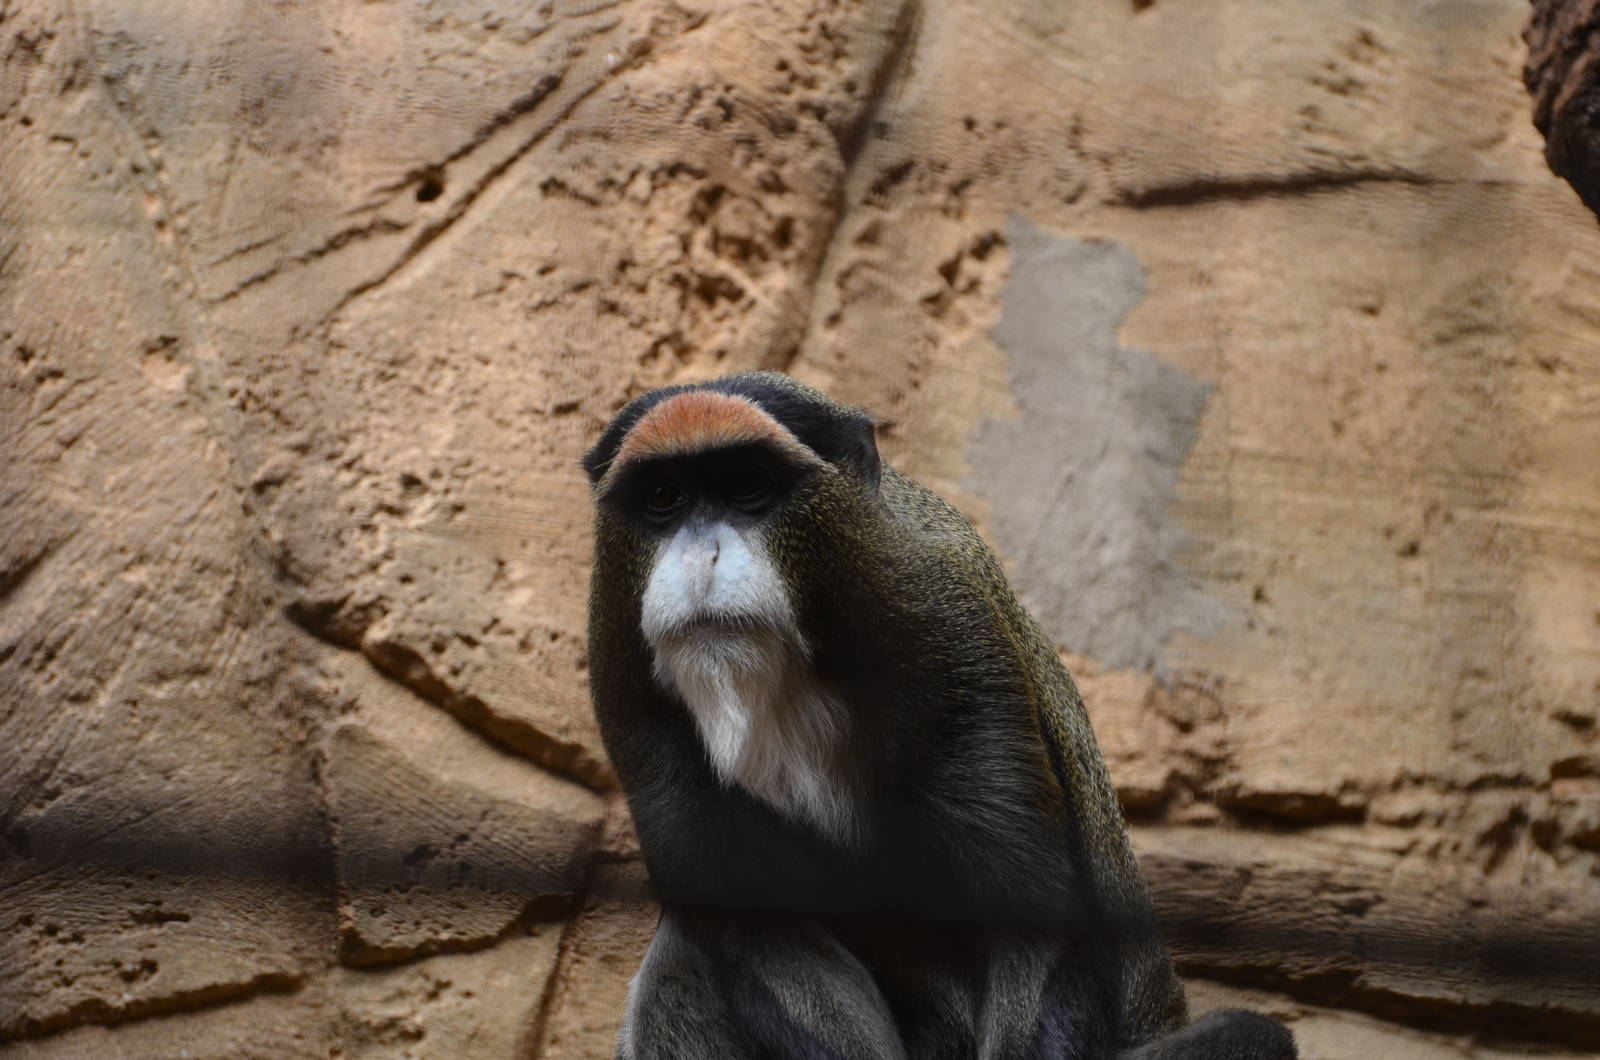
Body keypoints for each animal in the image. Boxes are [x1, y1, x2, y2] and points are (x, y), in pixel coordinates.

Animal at [583, 371, 1296, 1060]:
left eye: (747, 487)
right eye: (665, 498)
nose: (700, 559)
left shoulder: (946, 621)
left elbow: (1032, 919)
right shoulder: (620, 672)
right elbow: (754, 927)